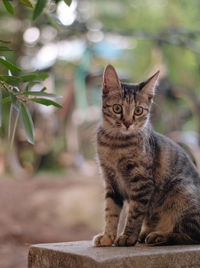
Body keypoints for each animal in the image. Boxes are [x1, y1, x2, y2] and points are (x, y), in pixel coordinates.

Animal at [93, 63, 200, 246]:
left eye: (138, 111)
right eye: (117, 108)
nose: (128, 123)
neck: (115, 143)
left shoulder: (142, 182)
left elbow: (135, 214)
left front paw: (128, 236)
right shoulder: (110, 181)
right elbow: (110, 212)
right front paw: (107, 236)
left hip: (181, 190)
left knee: (190, 234)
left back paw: (159, 235)